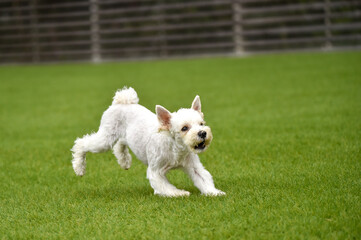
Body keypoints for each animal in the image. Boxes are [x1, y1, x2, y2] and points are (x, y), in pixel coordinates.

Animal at [71, 86, 225, 197]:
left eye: (201, 123)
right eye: (184, 128)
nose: (203, 133)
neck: (175, 148)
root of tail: (121, 102)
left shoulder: (194, 167)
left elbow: (204, 179)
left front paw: (214, 192)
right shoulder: (156, 171)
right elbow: (165, 186)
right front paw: (178, 193)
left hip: (123, 135)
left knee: (120, 145)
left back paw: (124, 162)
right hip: (105, 138)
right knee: (82, 143)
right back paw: (79, 168)